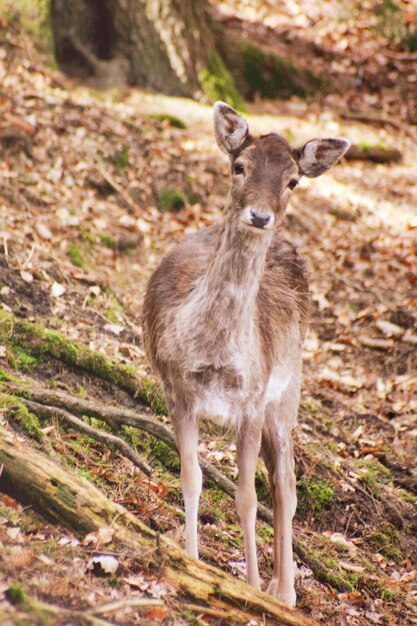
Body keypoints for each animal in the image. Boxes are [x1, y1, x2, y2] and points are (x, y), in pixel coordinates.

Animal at [141, 102, 350, 604]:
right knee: (279, 479)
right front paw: (192, 563)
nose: (259, 216)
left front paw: (251, 587)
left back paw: (283, 591)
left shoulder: (253, 399)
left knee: (286, 485)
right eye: (239, 166)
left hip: (289, 389)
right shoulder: (176, 389)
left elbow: (246, 497)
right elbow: (192, 477)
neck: (212, 353)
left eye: (292, 181)